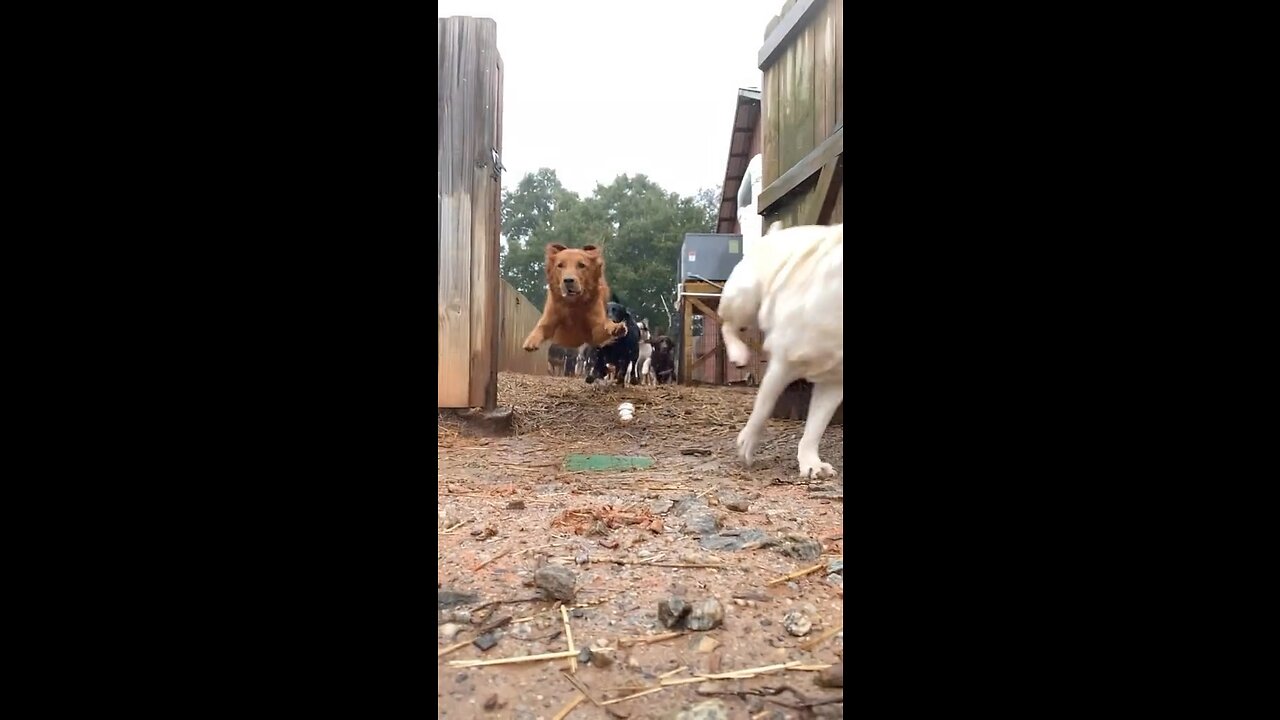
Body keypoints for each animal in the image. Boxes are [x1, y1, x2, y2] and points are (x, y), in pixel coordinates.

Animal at [721, 219, 839, 476]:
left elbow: (816, 426)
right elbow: (763, 407)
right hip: (744, 297)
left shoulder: (834, 383)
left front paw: (811, 462)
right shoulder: (782, 363)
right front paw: (747, 444)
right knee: (728, 325)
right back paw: (737, 353)